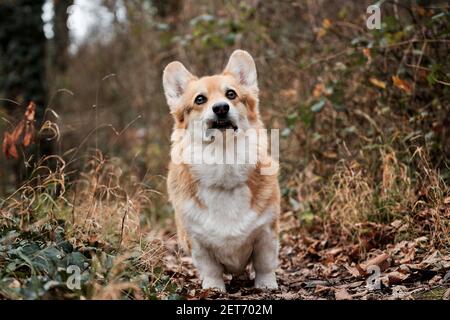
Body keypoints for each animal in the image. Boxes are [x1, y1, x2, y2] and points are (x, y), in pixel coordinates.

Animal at [163, 49, 280, 290]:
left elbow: (265, 264)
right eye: (200, 99)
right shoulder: (197, 242)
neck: (223, 160)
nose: (221, 107)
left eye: (231, 94)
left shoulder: (266, 233)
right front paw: (213, 289)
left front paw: (266, 285)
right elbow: (210, 269)